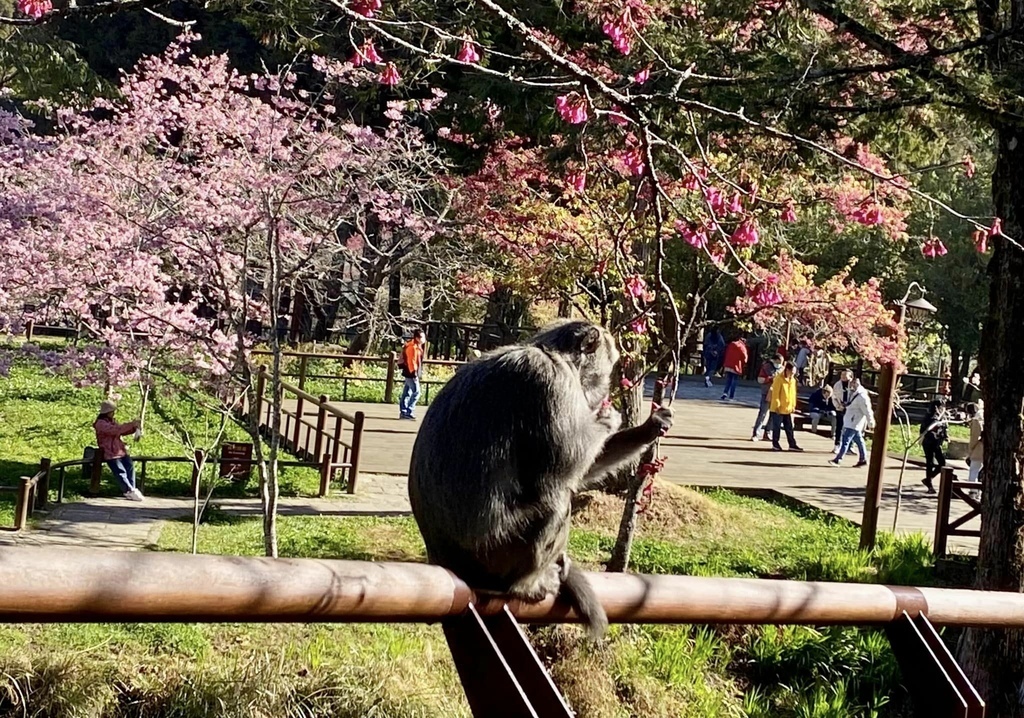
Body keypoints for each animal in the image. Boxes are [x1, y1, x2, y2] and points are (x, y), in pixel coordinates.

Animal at [407, 319, 671, 630]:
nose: (606, 392)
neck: (554, 354)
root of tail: (448, 562)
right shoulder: (550, 383)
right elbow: (565, 462)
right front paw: (608, 419)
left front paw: (649, 427)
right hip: (498, 552)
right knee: (555, 503)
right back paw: (525, 585)